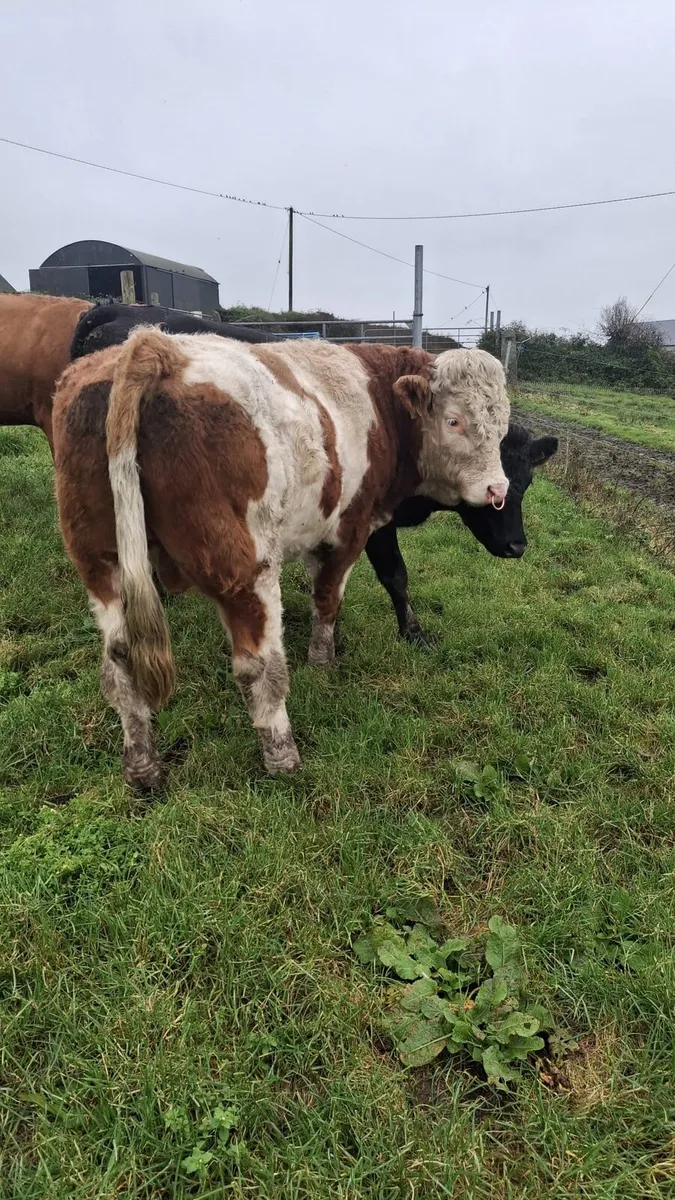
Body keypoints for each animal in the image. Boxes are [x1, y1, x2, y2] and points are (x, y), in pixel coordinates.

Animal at [52, 330, 510, 784]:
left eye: (502, 428)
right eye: (454, 421)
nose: (498, 489)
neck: (377, 399)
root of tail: (155, 346)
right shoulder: (348, 529)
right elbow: (328, 598)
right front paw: (322, 662)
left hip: (100, 563)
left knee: (120, 662)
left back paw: (142, 765)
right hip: (247, 571)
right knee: (258, 667)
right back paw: (282, 755)